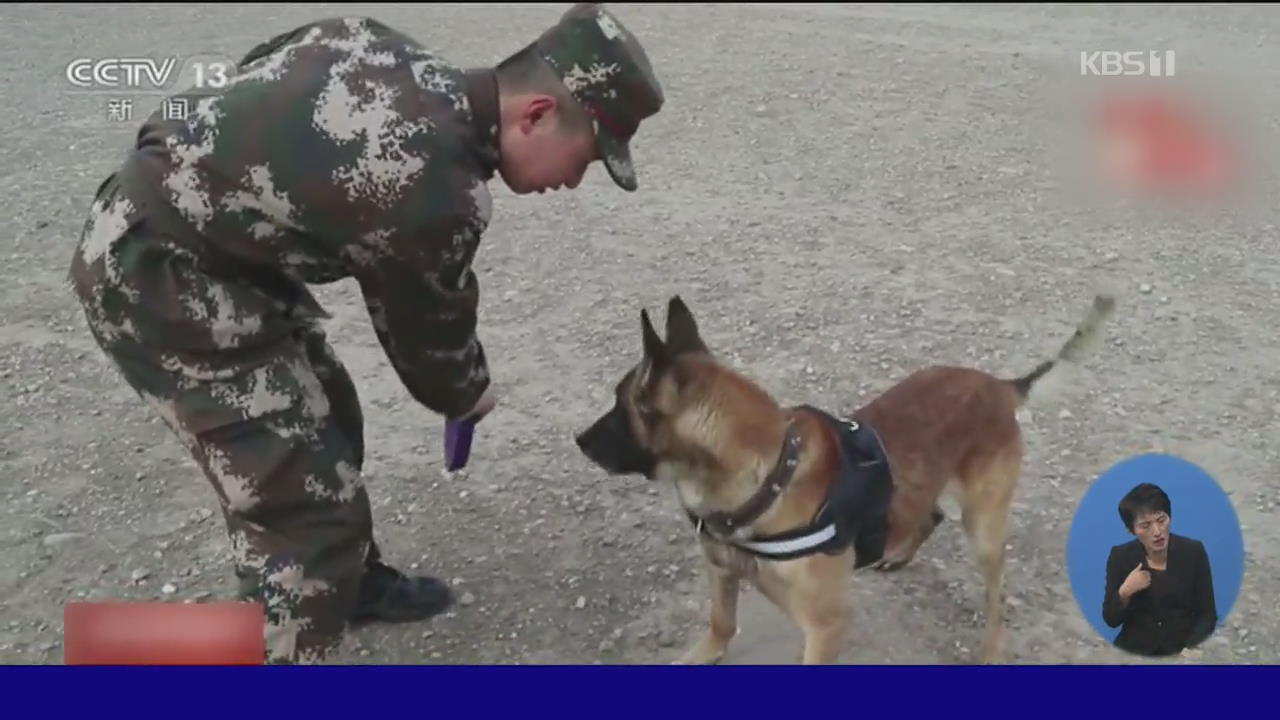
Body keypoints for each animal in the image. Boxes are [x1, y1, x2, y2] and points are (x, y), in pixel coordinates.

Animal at [576, 292, 1116, 661]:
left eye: (622, 408)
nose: (578, 439)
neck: (769, 478)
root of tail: (1001, 387)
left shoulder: (826, 628)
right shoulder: (721, 572)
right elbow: (720, 624)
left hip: (983, 529)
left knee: (996, 593)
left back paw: (992, 648)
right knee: (929, 513)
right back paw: (898, 551)